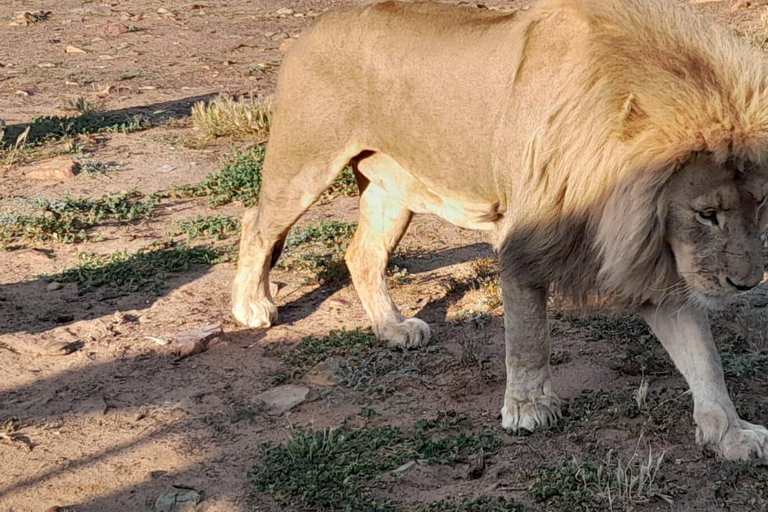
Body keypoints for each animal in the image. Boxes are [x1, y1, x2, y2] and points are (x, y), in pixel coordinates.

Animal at [230, 0, 768, 462]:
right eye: (706, 214)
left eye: (760, 204)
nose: (748, 284)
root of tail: (312, 29)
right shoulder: (526, 242)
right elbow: (528, 335)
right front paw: (529, 409)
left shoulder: (652, 262)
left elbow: (703, 357)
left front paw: (732, 432)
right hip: (302, 165)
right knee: (255, 225)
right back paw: (251, 306)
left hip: (393, 189)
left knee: (362, 255)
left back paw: (393, 328)